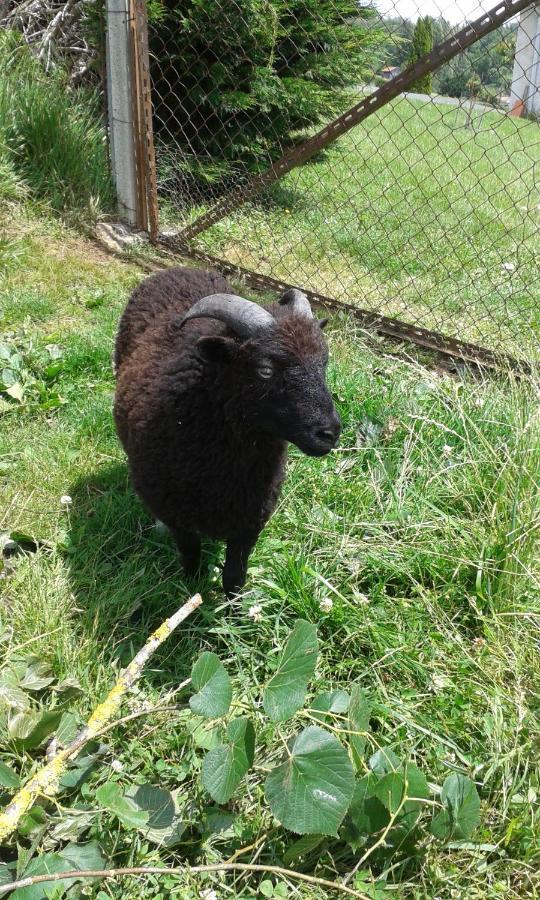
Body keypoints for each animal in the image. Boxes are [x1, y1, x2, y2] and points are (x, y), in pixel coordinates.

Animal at [114, 264, 342, 596]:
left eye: (323, 363)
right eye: (265, 369)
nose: (329, 433)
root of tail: (181, 268)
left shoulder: (251, 519)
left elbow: (235, 574)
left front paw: (232, 606)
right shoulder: (178, 516)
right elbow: (191, 556)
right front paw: (191, 592)